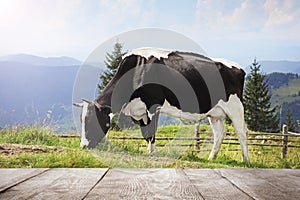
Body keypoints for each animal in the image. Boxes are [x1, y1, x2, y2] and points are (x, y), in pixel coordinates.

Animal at [74, 47, 250, 162]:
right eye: (82, 120)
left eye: (91, 120)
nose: (83, 146)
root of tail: (239, 68)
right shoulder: (140, 111)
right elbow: (145, 133)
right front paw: (149, 150)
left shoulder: (153, 104)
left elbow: (151, 131)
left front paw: (152, 152)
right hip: (215, 113)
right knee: (220, 133)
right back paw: (211, 158)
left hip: (236, 107)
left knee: (241, 132)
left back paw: (245, 160)